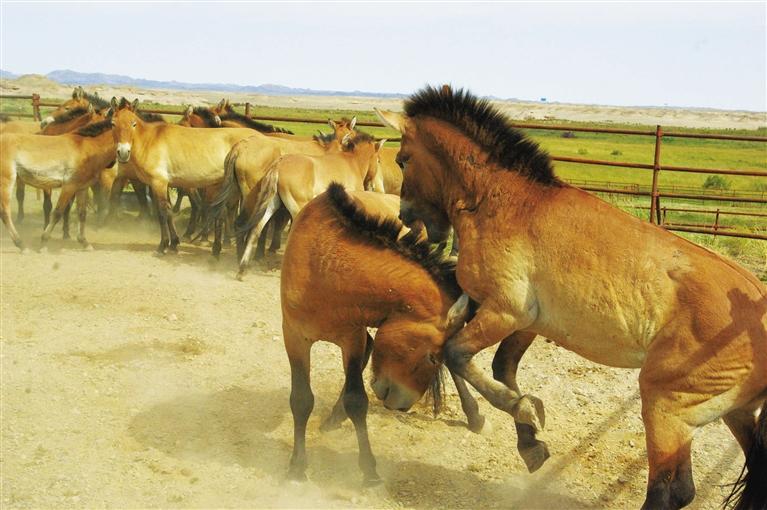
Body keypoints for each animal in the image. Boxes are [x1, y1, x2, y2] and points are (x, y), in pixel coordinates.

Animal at [109, 97, 256, 253]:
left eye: (134, 124)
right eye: (113, 124)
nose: (123, 153)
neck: (149, 140)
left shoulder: (158, 183)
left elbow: (162, 212)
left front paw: (163, 245)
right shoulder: (163, 184)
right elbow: (169, 212)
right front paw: (173, 242)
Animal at [232, 130, 384, 274]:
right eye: (378, 160)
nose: (373, 186)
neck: (352, 163)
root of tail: (279, 165)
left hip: (271, 205)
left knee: (256, 229)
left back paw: (242, 269)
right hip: (297, 208)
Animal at [282, 182, 486, 482]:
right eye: (431, 357)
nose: (403, 405)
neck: (325, 267)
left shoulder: (351, 339)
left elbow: (357, 400)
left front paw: (368, 469)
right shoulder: (295, 337)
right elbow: (301, 399)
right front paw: (297, 465)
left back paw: (474, 415)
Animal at [378, 84, 767, 510]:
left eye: (402, 159)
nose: (409, 220)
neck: (502, 203)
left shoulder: (504, 313)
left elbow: (456, 353)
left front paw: (523, 412)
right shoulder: (526, 322)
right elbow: (498, 367)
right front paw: (529, 441)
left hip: (667, 408)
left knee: (672, 490)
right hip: (736, 413)